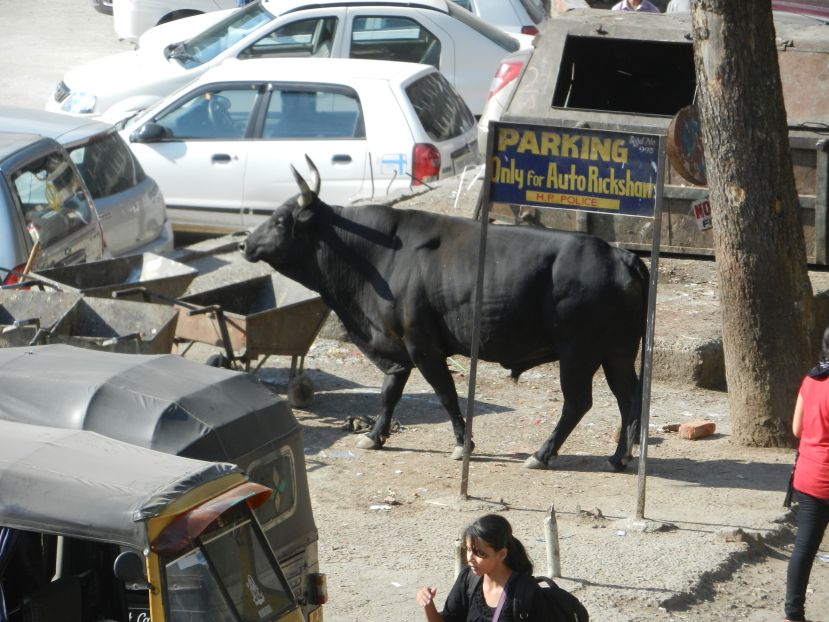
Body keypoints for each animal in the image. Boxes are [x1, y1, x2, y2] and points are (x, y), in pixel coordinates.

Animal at [239, 161, 648, 472]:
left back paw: (541, 454)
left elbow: (446, 395)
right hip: (618, 352)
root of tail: (618, 254)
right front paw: (374, 436)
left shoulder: (423, 346)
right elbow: (389, 392)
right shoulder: (398, 346)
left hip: (578, 354)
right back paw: (619, 457)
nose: (244, 243)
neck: (377, 255)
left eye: (280, 220)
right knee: (629, 396)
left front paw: (462, 444)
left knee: (579, 402)